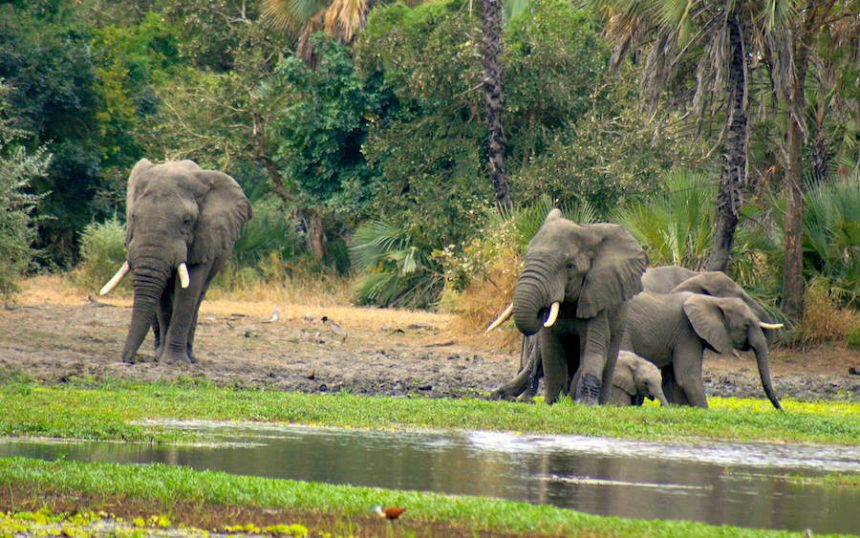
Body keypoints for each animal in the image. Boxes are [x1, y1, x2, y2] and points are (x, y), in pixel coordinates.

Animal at [99, 157, 252, 362]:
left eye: (187, 221)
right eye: (133, 216)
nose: (129, 360)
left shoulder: (203, 238)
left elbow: (189, 290)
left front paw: (174, 362)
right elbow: (163, 297)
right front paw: (161, 359)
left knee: (198, 298)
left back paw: (189, 357)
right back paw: (159, 351)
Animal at [484, 207, 644, 404]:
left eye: (569, 266)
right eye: (526, 257)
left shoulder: (596, 299)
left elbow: (593, 347)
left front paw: (586, 405)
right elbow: (551, 350)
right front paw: (553, 403)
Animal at [620, 292, 784, 408]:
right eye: (747, 324)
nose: (781, 411)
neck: (715, 300)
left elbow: (673, 381)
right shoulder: (687, 333)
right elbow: (687, 377)